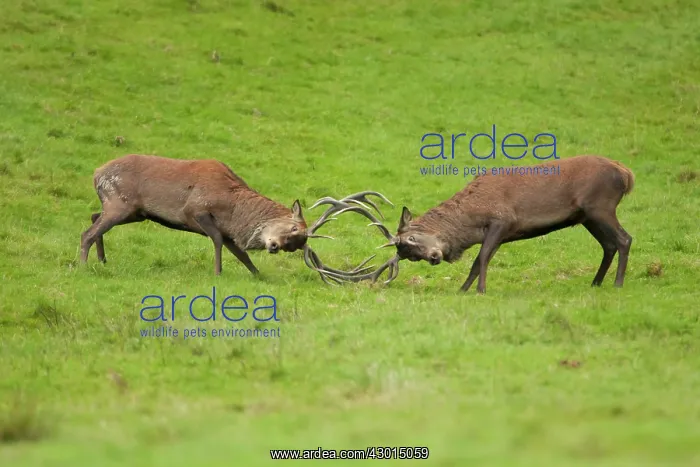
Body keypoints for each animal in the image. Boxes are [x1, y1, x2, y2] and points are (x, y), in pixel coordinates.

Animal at [79, 154, 393, 279]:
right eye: (294, 230)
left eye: (294, 246)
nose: (274, 246)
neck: (232, 208)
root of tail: (96, 173)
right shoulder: (196, 210)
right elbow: (218, 241)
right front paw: (217, 273)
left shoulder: (231, 232)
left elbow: (240, 253)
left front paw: (258, 275)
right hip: (120, 202)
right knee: (88, 232)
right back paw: (82, 266)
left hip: (133, 212)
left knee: (94, 217)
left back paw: (102, 260)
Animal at [314, 155, 635, 294]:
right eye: (410, 256)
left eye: (411, 241)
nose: (435, 257)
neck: (470, 220)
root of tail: (626, 173)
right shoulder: (503, 232)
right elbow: (480, 260)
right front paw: (463, 290)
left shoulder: (502, 220)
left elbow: (480, 259)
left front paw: (478, 290)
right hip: (588, 217)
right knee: (609, 244)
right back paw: (596, 283)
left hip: (600, 206)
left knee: (624, 239)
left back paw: (618, 284)